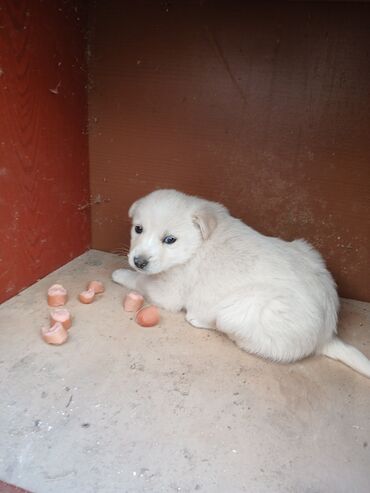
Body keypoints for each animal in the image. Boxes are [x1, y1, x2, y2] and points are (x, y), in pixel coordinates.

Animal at [112, 188, 370, 376]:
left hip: (240, 310)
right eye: (138, 229)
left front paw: (120, 274)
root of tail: (326, 336)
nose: (138, 261)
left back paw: (197, 318)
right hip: (307, 250)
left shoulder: (168, 290)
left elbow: (141, 281)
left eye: (170, 240)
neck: (197, 245)